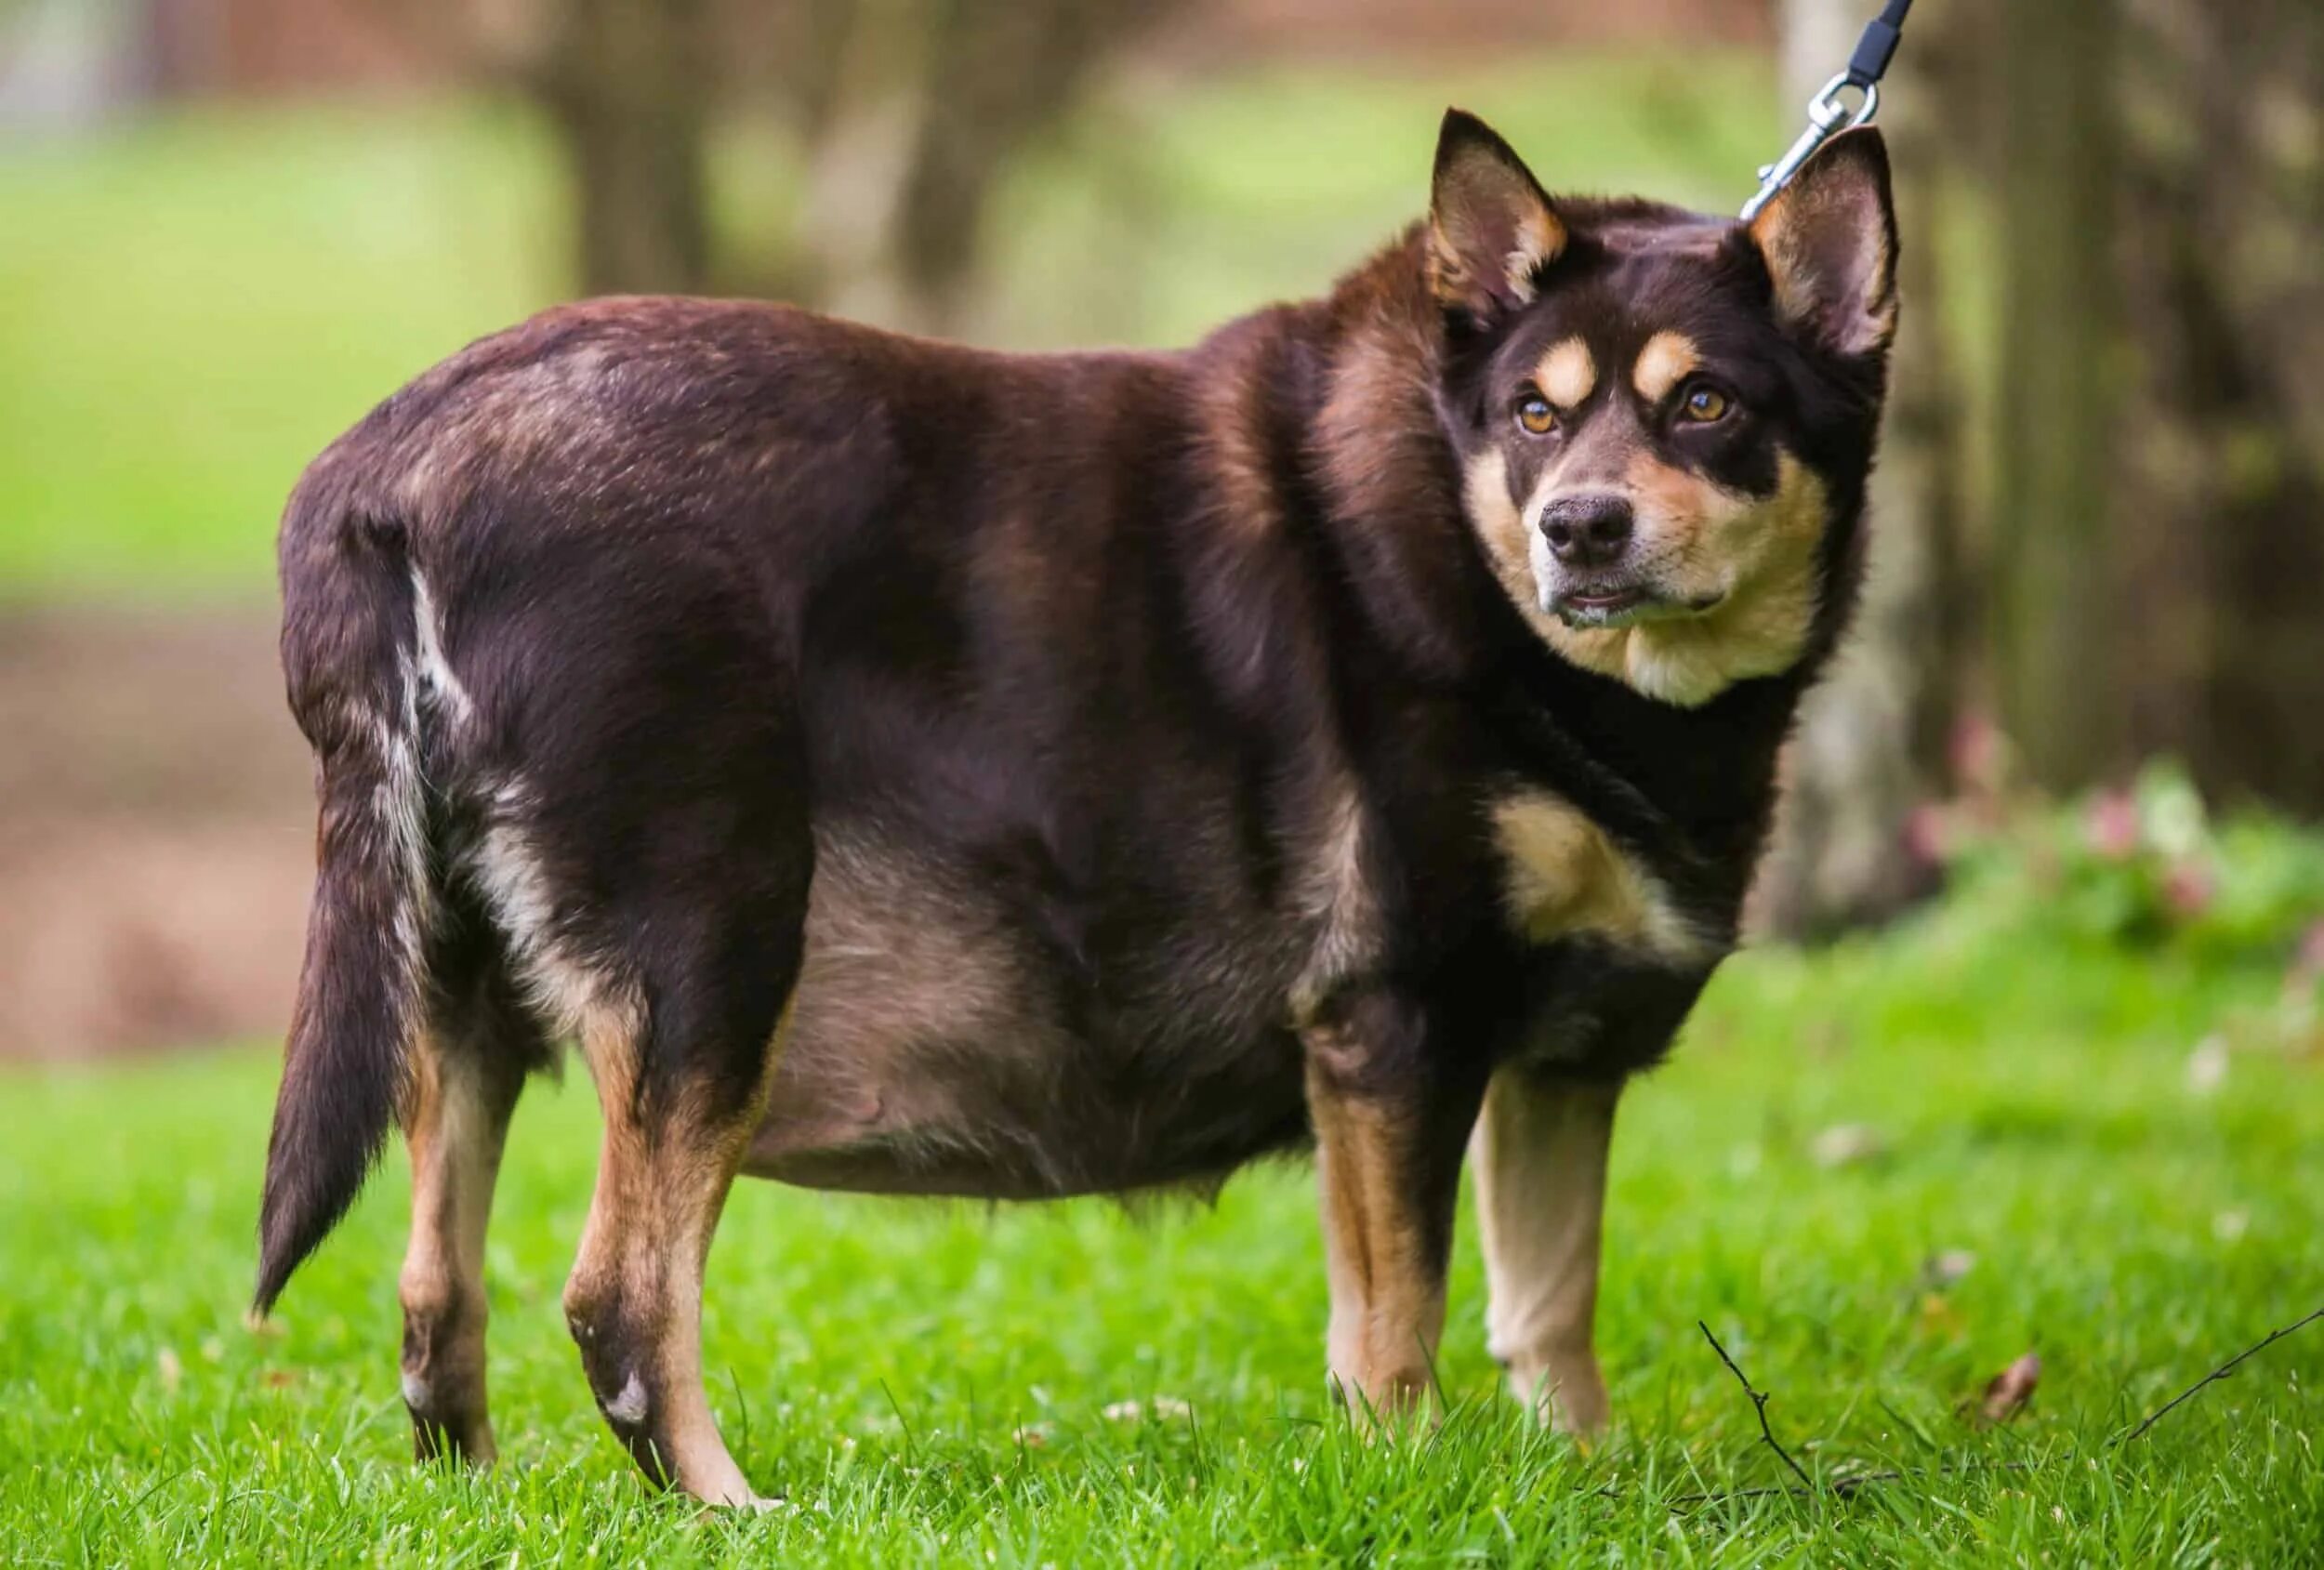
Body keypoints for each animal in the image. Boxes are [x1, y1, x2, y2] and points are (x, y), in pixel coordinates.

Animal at [258, 110, 1887, 1505]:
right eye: (1537, 418)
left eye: (1705, 403)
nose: (1578, 529)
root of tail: (392, 469)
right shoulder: (1391, 1026)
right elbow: (1398, 1329)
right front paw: (1418, 1480)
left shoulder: (1562, 1063)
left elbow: (1550, 1314)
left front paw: (1580, 1483)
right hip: (714, 955)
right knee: (619, 1298)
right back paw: (730, 1505)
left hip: (457, 990)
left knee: (435, 1293)